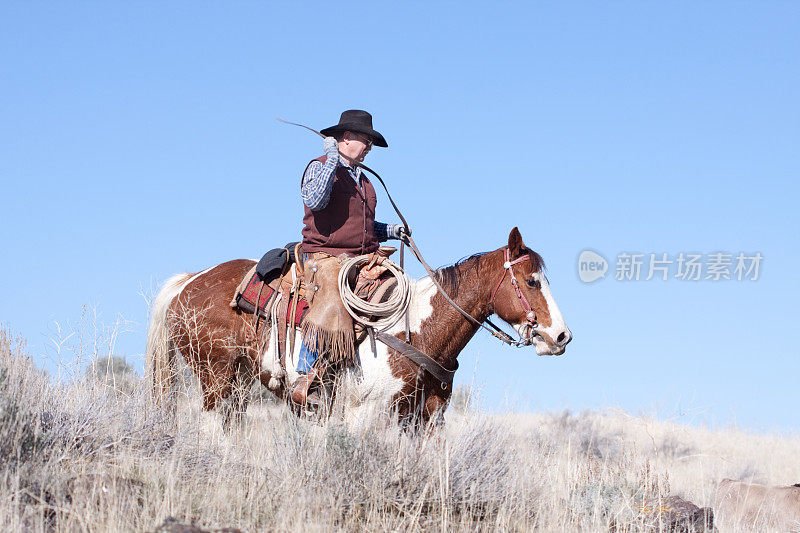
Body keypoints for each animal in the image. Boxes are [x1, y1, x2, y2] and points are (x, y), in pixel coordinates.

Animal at [144, 227, 568, 426]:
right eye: (532, 281)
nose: (562, 336)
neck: (417, 330)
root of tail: (188, 282)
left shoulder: (426, 417)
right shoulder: (366, 412)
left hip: (238, 382)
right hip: (214, 377)